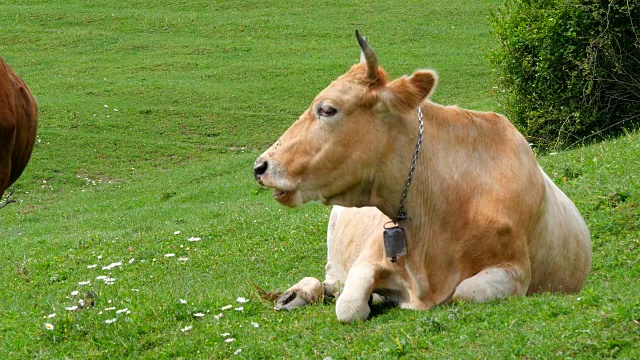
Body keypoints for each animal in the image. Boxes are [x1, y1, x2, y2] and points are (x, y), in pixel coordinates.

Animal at [252, 31, 592, 324]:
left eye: (327, 109)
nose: (260, 166)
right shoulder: (368, 258)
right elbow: (349, 307)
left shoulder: (515, 269)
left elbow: (463, 292)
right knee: (330, 282)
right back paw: (296, 295)